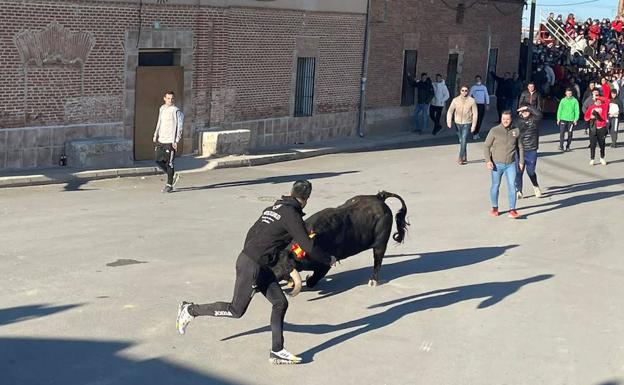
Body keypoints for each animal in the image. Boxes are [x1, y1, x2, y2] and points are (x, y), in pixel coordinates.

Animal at [272, 190, 410, 286]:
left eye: (285, 266)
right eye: (273, 263)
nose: (274, 275)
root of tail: (379, 196)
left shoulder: (324, 266)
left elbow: (314, 280)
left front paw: (309, 279)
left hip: (381, 243)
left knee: (378, 259)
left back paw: (373, 281)